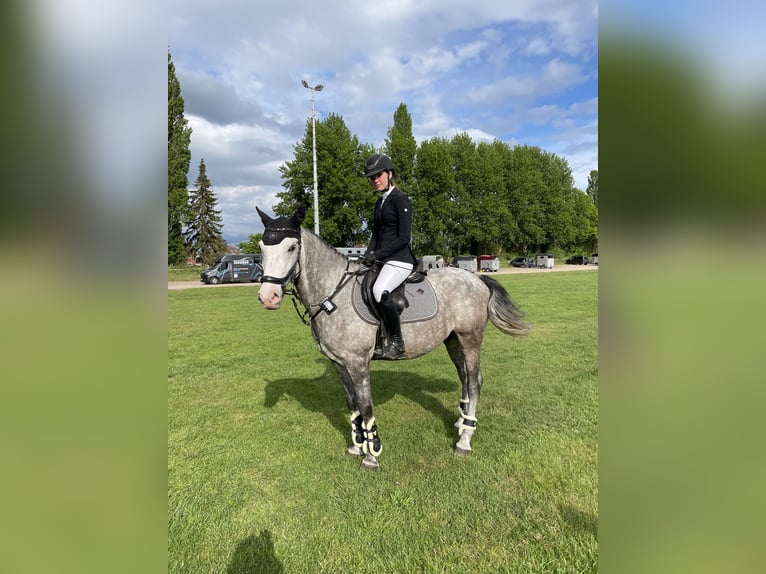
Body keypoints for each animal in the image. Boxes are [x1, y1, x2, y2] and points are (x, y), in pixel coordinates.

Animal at [256, 205, 532, 470]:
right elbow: (352, 405)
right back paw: (460, 423)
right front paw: (356, 446)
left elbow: (365, 406)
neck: (333, 295)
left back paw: (464, 440)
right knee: (464, 377)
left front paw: (371, 455)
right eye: (261, 247)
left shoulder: (358, 363)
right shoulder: (339, 364)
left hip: (470, 338)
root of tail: (477, 278)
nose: (268, 297)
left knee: (474, 381)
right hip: (453, 341)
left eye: (292, 247)